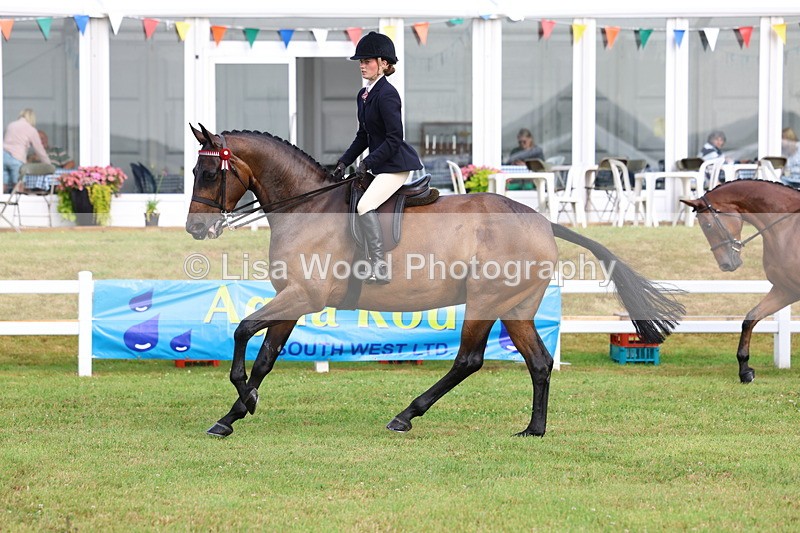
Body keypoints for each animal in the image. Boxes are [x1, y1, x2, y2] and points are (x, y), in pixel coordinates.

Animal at [185, 123, 684, 438]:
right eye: (194, 172)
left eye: (208, 173)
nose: (195, 228)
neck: (306, 206)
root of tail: (543, 222)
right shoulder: (292, 299)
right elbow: (265, 357)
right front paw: (235, 412)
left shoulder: (302, 296)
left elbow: (243, 331)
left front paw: (243, 401)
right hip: (516, 307)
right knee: (539, 362)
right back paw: (533, 429)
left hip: (485, 302)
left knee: (468, 360)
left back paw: (406, 415)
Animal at [682, 179, 800, 383]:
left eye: (708, 226)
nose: (726, 264)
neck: (787, 229)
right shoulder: (786, 290)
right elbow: (750, 318)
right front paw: (745, 370)